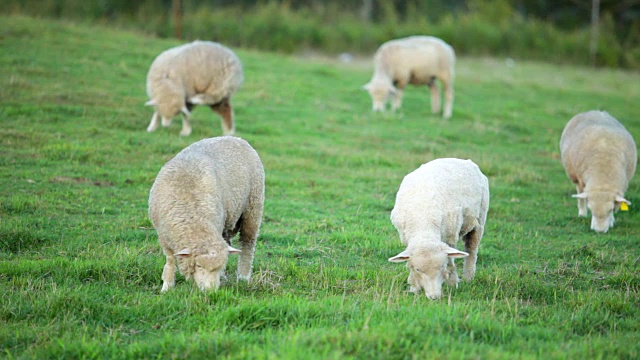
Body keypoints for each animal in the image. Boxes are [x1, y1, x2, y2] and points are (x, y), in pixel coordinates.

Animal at [149, 136, 264, 292]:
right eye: (198, 265)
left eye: (218, 267)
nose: (210, 292)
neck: (193, 215)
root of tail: (237, 138)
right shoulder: (164, 236)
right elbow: (170, 260)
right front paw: (167, 286)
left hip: (253, 207)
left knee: (248, 243)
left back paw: (243, 276)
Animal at [384, 159, 490, 300]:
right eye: (418, 269)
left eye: (441, 267)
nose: (434, 297)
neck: (424, 227)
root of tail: (464, 160)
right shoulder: (406, 238)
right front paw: (414, 287)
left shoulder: (450, 237)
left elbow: (450, 261)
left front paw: (452, 283)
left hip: (479, 219)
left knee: (472, 249)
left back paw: (468, 277)